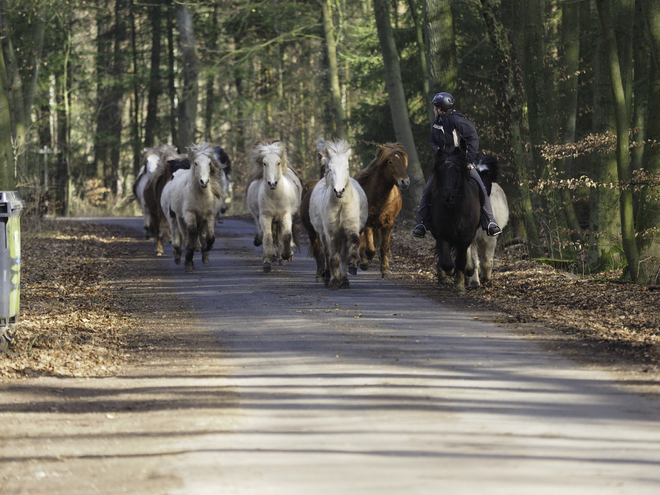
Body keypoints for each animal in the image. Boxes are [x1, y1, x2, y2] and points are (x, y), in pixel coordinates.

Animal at [159, 143, 224, 274]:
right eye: (196, 163)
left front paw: (206, 251)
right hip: (175, 218)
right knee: (181, 236)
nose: (204, 182)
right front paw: (188, 260)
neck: (200, 195)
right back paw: (180, 257)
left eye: (209, 163)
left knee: (198, 234)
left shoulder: (209, 215)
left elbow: (210, 236)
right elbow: (191, 234)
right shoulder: (189, 214)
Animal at [246, 139, 302, 272]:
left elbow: (286, 235)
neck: (275, 196)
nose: (272, 183)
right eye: (264, 163)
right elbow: (267, 237)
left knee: (281, 236)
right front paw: (267, 262)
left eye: (278, 162)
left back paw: (283, 257)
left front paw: (287, 255)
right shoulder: (265, 217)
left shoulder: (285, 216)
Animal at [310, 138, 368, 288]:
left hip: (343, 236)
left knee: (342, 254)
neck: (341, 205)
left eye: (347, 168)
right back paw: (328, 277)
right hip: (324, 234)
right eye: (331, 169)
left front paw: (353, 265)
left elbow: (354, 242)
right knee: (327, 253)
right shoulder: (332, 233)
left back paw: (345, 279)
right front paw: (334, 282)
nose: (339, 191)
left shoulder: (351, 228)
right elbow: (333, 257)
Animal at [356, 142, 408, 280]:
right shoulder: (367, 223)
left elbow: (384, 247)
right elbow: (369, 247)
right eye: (390, 162)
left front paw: (386, 270)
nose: (405, 182)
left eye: (403, 161)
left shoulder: (388, 224)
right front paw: (365, 261)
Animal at [428, 149, 490, 292]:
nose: (448, 197)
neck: (455, 209)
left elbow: (461, 260)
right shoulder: (442, 235)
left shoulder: (466, 236)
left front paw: (460, 284)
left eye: (457, 171)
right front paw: (449, 272)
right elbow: (446, 262)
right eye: (440, 171)